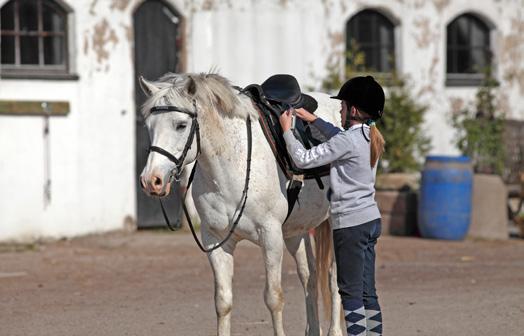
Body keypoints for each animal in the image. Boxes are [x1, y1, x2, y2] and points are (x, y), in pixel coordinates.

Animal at [138, 73, 344, 336]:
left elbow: (274, 298)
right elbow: (223, 301)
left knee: (334, 276)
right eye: (149, 126)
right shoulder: (215, 240)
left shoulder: (270, 236)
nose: (151, 181)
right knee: (310, 276)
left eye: (181, 125)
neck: (232, 165)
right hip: (296, 231)